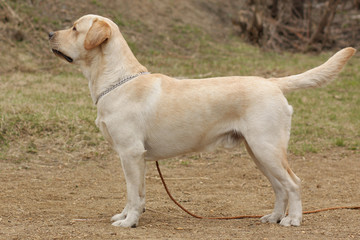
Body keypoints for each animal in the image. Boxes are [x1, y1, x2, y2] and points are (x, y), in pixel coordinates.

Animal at [49, 14, 356, 228]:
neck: (117, 79)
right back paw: (274, 217)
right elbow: (134, 193)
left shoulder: (131, 153)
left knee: (294, 183)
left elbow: (134, 194)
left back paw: (293, 220)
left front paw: (130, 222)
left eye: (75, 28)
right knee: (280, 187)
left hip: (267, 149)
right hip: (257, 152)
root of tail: (272, 83)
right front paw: (125, 216)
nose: (50, 33)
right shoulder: (133, 158)